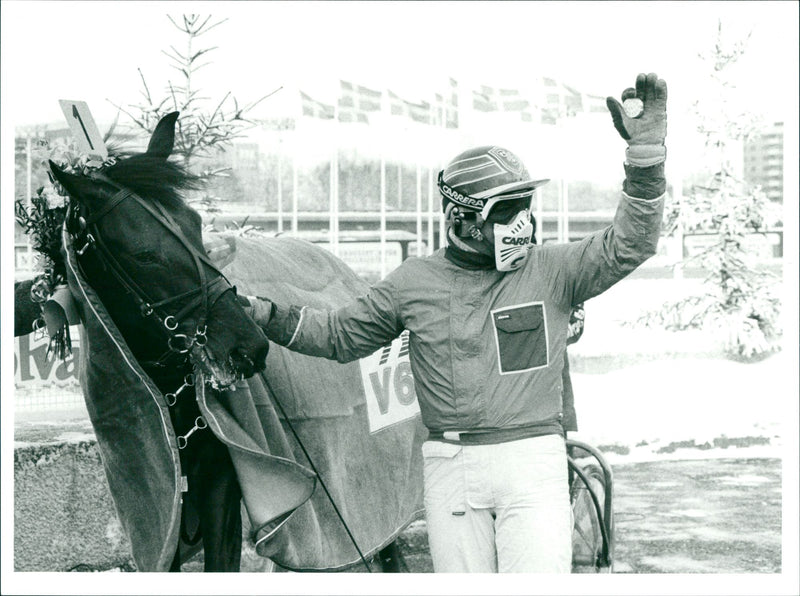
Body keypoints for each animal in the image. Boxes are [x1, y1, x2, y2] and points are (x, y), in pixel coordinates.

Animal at [47, 112, 424, 572]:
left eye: (195, 224)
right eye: (143, 255)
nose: (249, 346)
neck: (170, 403)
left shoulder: (220, 488)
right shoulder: (166, 508)